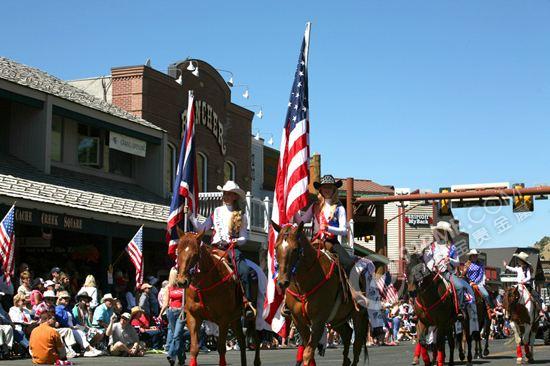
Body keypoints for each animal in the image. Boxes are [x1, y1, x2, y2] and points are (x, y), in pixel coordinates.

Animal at [177, 230, 264, 364]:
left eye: (195, 254)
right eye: (177, 251)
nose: (182, 282)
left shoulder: (223, 319)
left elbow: (221, 349)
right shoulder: (193, 317)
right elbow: (194, 349)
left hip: (253, 315)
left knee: (257, 337)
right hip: (235, 318)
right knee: (242, 340)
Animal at [272, 222, 368, 366]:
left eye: (295, 249)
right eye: (276, 248)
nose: (282, 282)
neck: (304, 285)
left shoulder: (318, 320)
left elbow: (307, 353)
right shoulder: (299, 320)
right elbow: (306, 351)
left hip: (358, 316)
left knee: (357, 345)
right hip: (337, 319)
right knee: (347, 333)